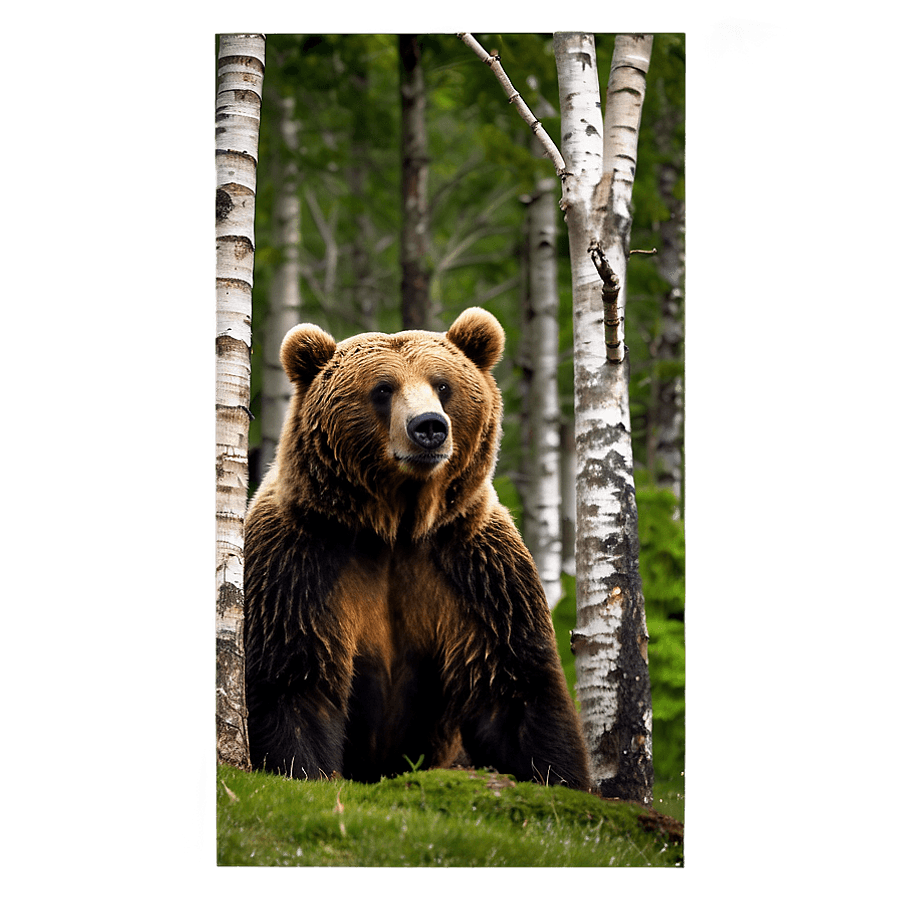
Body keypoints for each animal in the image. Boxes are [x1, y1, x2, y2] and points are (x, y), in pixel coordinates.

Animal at [243, 307, 590, 791]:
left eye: (442, 385)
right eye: (382, 388)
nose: (428, 427)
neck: (396, 527)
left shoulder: (474, 568)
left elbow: (513, 688)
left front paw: (557, 775)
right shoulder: (303, 560)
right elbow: (292, 682)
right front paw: (304, 769)